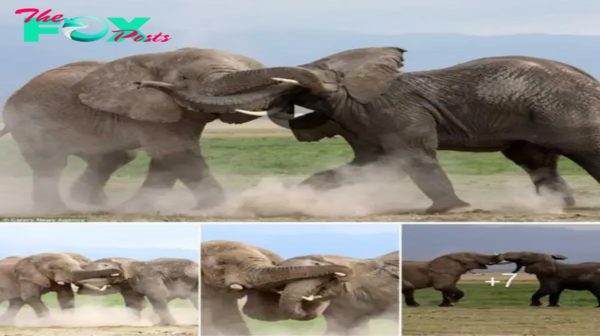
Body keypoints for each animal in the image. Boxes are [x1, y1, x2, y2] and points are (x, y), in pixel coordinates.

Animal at [1, 47, 278, 214]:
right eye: (184, 79)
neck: (163, 57)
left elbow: (168, 160)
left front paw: (131, 209)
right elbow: (177, 153)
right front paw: (213, 208)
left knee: (115, 156)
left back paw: (89, 201)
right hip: (30, 122)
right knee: (50, 163)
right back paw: (58, 209)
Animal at [166, 47, 600, 213]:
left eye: (307, 80)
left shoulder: (395, 114)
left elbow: (414, 158)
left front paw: (456, 210)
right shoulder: (364, 122)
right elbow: (363, 166)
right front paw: (299, 199)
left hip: (568, 116)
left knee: (586, 153)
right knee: (535, 160)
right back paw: (558, 207)